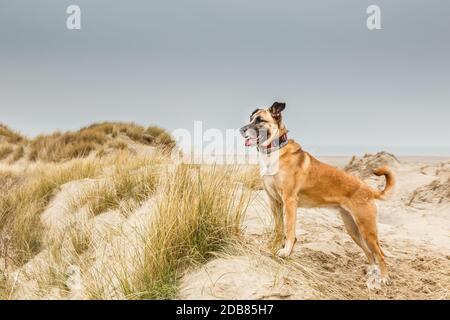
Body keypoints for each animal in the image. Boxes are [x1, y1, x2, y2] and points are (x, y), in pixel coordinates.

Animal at [239, 102, 394, 284]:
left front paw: (286, 251)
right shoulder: (274, 201)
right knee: (370, 253)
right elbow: (278, 228)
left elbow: (289, 230)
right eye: (251, 119)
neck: (274, 151)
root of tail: (368, 189)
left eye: (260, 120)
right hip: (353, 229)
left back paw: (384, 278)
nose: (241, 130)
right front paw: (272, 247)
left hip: (367, 229)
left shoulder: (289, 201)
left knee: (380, 254)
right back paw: (372, 272)